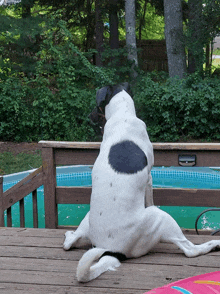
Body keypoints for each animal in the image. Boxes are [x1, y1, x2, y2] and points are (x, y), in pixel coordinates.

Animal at [62, 83, 219, 282]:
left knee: (70, 242)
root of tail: (111, 251)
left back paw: (69, 234)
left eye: (96, 106)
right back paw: (213, 244)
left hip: (87, 220)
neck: (123, 115)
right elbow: (149, 198)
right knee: (190, 250)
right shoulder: (149, 177)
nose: (89, 116)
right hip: (160, 217)